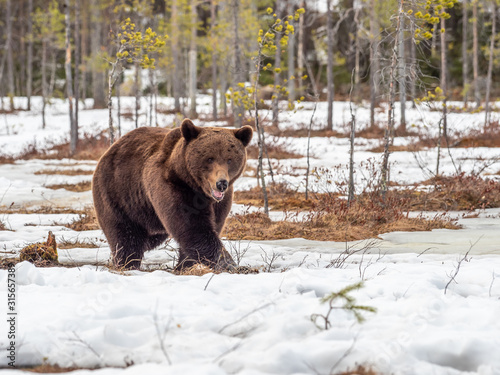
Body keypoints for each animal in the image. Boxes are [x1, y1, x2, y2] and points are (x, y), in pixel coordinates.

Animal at [91, 119, 252, 270]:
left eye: (229, 159)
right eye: (209, 158)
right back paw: (127, 263)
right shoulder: (172, 186)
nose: (221, 183)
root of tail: (109, 151)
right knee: (126, 235)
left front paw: (185, 265)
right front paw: (231, 264)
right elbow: (192, 227)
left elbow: (213, 224)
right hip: (118, 194)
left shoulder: (220, 202)